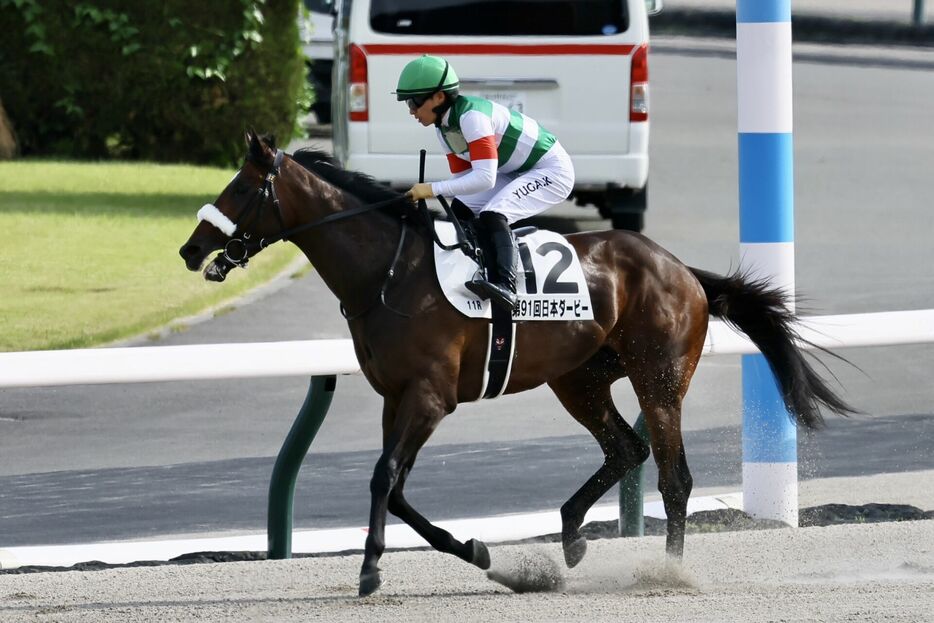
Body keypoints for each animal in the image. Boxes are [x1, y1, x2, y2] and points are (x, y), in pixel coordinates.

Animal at [179, 130, 852, 596]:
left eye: (241, 188)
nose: (191, 249)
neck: (388, 274)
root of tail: (682, 269)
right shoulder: (397, 397)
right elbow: (396, 488)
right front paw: (483, 555)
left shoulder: (430, 397)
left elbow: (383, 477)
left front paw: (370, 570)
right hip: (578, 380)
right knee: (625, 450)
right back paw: (572, 534)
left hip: (658, 379)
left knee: (672, 476)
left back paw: (666, 571)